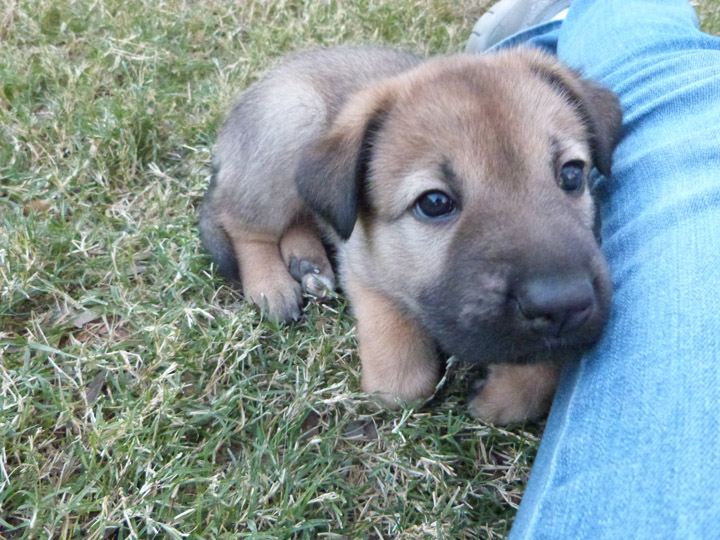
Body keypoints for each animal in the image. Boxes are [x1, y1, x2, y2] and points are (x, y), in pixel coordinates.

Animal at [200, 46, 620, 424]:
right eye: (434, 202)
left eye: (571, 174)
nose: (563, 304)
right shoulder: (363, 268)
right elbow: (401, 377)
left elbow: (536, 376)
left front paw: (507, 392)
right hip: (291, 123)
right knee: (241, 222)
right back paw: (270, 284)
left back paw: (307, 261)